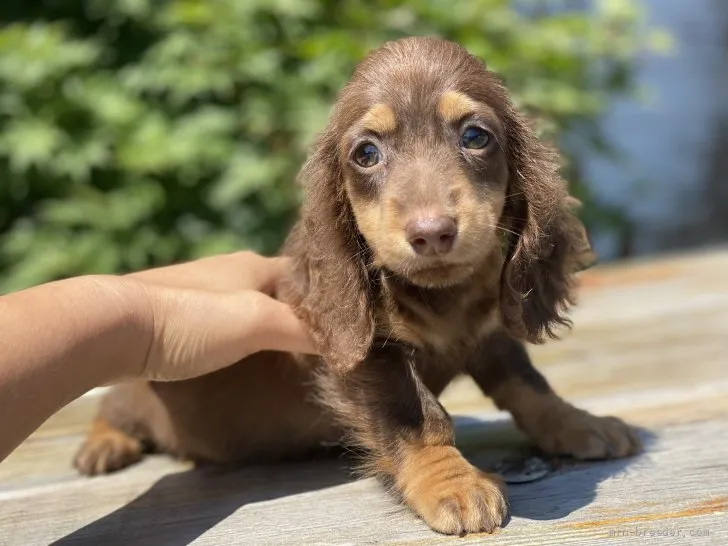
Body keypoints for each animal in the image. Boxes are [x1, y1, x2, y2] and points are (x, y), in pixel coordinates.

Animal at [74, 36, 640, 532]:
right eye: (366, 153)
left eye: (476, 136)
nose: (432, 233)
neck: (440, 298)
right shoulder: (371, 356)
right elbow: (418, 417)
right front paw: (453, 483)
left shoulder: (488, 336)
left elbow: (529, 386)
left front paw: (577, 422)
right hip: (143, 388)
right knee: (112, 407)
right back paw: (104, 444)